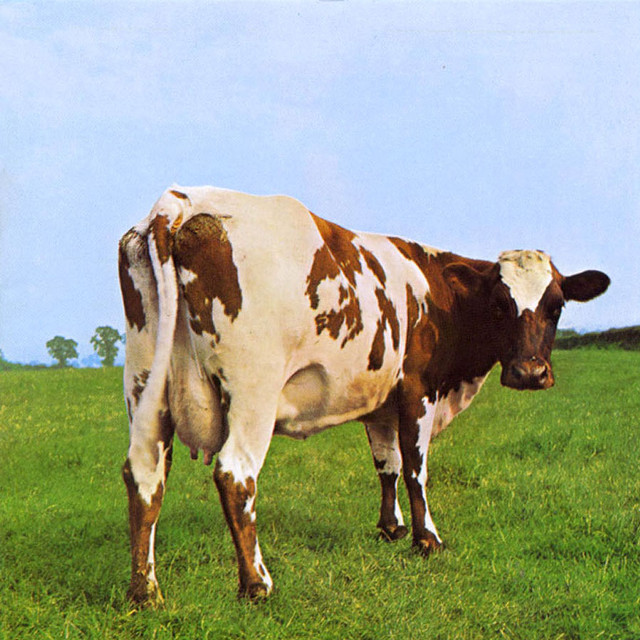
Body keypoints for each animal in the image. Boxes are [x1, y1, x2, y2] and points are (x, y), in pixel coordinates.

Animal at [118, 185, 609, 604]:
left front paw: (391, 529)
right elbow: (415, 468)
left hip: (144, 381)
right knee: (235, 475)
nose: (530, 372)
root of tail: (182, 201)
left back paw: (145, 591)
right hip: (253, 390)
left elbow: (386, 465)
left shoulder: (380, 402)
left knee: (144, 473)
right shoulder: (418, 391)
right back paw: (257, 584)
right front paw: (427, 539)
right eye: (500, 304)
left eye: (557, 306)